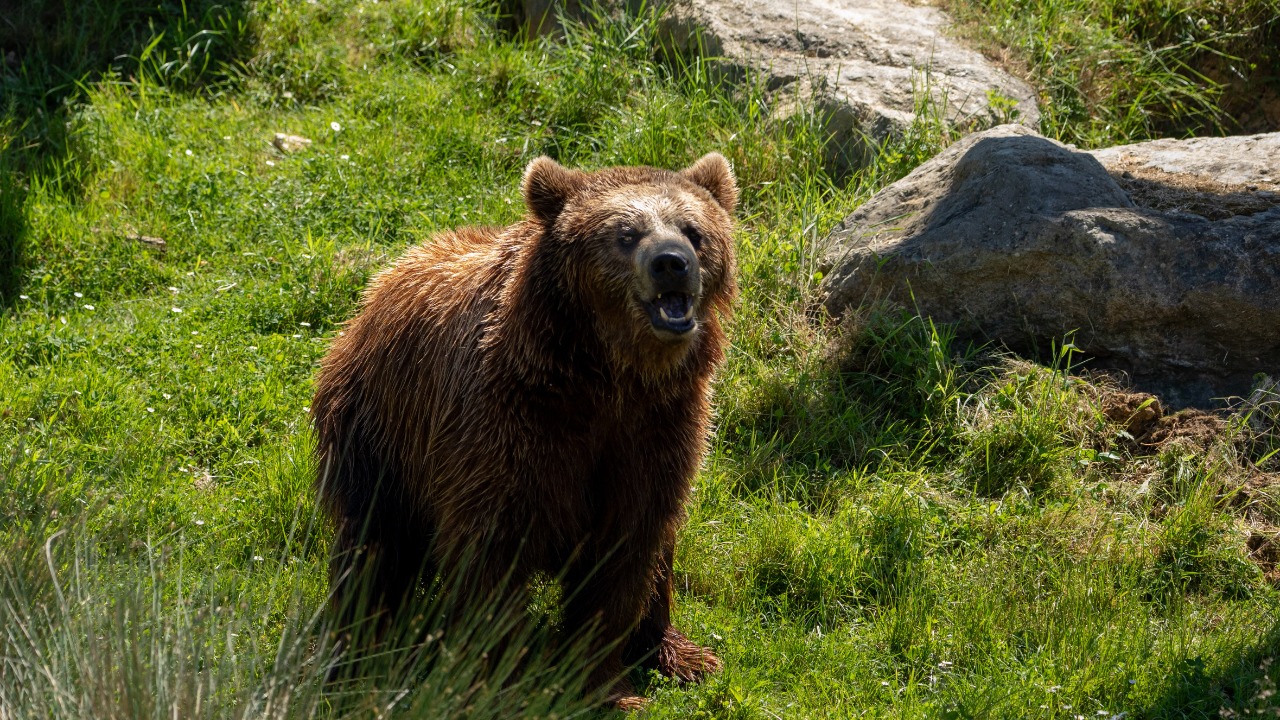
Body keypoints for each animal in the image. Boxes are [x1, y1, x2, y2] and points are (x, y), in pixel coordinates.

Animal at [311, 152, 739, 707]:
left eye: (693, 230)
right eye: (625, 234)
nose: (671, 262)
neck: (610, 377)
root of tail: (377, 286)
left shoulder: (656, 432)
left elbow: (625, 554)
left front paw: (604, 680)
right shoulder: (511, 429)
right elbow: (493, 554)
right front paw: (502, 675)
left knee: (662, 556)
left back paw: (679, 651)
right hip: (379, 430)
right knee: (374, 542)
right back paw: (359, 644)